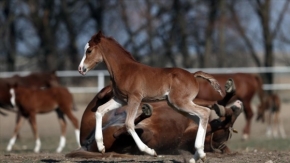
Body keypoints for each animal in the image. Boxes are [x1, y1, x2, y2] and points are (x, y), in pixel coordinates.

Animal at [65, 82, 242, 159]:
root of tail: (85, 144)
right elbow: (212, 103)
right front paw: (227, 101)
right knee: (104, 98)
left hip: (143, 134)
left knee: (122, 130)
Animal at [77, 31, 222, 162]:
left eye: (89, 50)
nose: (80, 69)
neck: (124, 70)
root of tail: (193, 75)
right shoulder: (120, 99)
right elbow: (99, 110)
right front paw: (101, 147)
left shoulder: (135, 98)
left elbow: (129, 124)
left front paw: (150, 151)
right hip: (178, 105)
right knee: (199, 117)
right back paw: (197, 156)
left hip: (179, 102)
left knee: (204, 112)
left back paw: (200, 153)